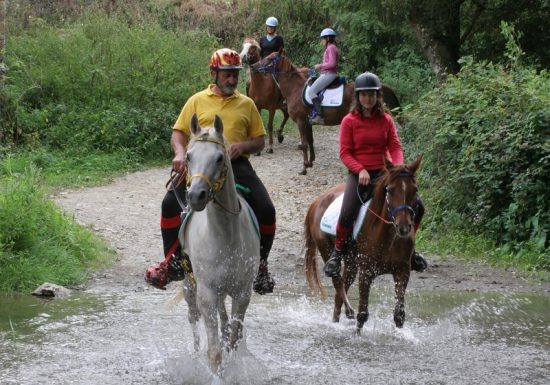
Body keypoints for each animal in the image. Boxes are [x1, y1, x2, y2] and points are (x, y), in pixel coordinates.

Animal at [179, 114, 260, 376]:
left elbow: (232, 339)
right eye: (188, 156)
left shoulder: (242, 293)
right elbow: (214, 352)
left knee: (225, 322)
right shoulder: (206, 293)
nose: (196, 195)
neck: (224, 237)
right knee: (193, 320)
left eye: (219, 158)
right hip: (190, 285)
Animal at [254, 50, 402, 174]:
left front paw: (304, 168)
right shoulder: (308, 122)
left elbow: (304, 144)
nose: (254, 66)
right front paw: (310, 162)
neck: (295, 89)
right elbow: (310, 141)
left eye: (270, 58)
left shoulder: (301, 121)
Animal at [304, 154, 424, 332]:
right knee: (338, 283)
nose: (403, 228)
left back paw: (337, 320)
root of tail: (317, 201)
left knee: (339, 294)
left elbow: (399, 315)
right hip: (326, 248)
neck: (388, 237)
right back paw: (348, 311)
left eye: (414, 190)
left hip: (351, 262)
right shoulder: (366, 272)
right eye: (390, 190)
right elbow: (362, 314)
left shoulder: (402, 271)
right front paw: (357, 333)